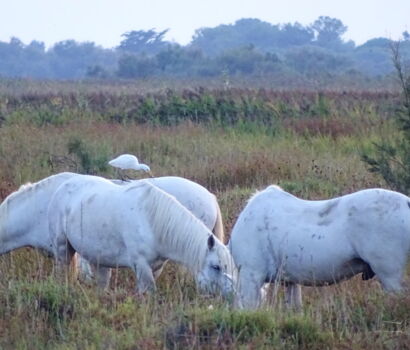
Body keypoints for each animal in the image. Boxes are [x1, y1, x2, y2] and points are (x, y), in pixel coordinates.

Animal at [47, 175, 237, 296]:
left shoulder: (155, 267)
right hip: (63, 249)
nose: (231, 292)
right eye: (216, 267)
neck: (151, 220)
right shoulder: (142, 266)